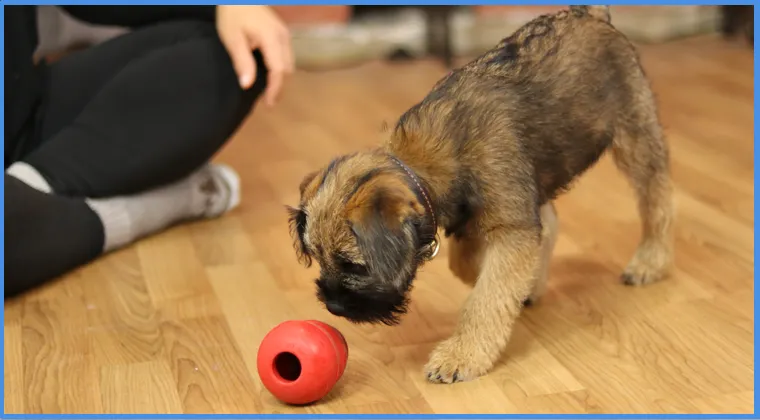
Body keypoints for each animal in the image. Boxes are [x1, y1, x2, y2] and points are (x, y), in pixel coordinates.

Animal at [288, 4, 672, 384]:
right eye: (318, 258)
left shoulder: (511, 229)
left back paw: (650, 260)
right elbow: (470, 266)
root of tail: (591, 13)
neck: (428, 163)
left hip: (634, 135)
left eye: (354, 265)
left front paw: (462, 354)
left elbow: (488, 295)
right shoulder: (488, 216)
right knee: (550, 219)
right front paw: (516, 283)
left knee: (658, 197)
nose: (334, 307)